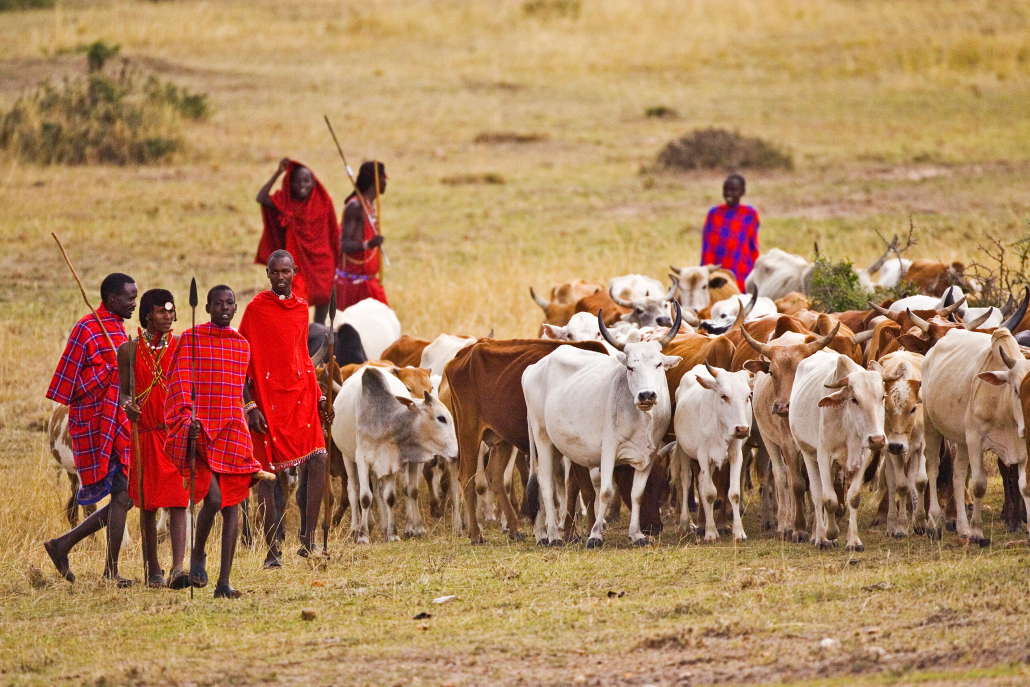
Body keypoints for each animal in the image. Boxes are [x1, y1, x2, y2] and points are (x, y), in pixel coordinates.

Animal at [331, 364, 457, 543]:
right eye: (441, 418)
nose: (455, 452)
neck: (383, 418)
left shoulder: (390, 461)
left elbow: (389, 497)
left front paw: (393, 533)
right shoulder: (362, 460)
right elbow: (365, 497)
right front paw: (363, 536)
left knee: (378, 491)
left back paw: (383, 528)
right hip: (347, 457)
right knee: (353, 491)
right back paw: (355, 528)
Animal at [523, 306, 683, 547]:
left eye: (658, 364)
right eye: (630, 367)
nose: (646, 395)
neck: (640, 419)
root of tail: (533, 368)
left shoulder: (648, 454)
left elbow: (636, 494)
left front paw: (637, 535)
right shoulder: (608, 450)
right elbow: (606, 491)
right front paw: (595, 535)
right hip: (543, 438)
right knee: (546, 483)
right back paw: (552, 535)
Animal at [671, 362, 753, 543]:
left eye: (748, 397)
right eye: (723, 396)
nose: (742, 429)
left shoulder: (735, 455)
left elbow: (734, 493)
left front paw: (739, 532)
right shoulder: (703, 456)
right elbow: (709, 493)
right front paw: (710, 533)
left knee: (701, 482)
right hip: (683, 451)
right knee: (686, 481)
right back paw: (685, 525)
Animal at [791, 352, 889, 552]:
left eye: (882, 396)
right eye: (854, 399)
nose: (877, 439)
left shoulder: (863, 457)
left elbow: (853, 498)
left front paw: (854, 541)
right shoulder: (824, 456)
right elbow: (829, 500)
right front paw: (830, 534)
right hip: (808, 454)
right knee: (817, 496)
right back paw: (819, 537)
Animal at [918, 329, 1030, 543]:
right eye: (1016, 389)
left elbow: (1025, 486)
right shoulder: (976, 441)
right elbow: (979, 485)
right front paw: (977, 532)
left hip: (962, 440)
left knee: (958, 475)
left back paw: (962, 527)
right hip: (931, 425)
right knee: (933, 468)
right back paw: (933, 524)